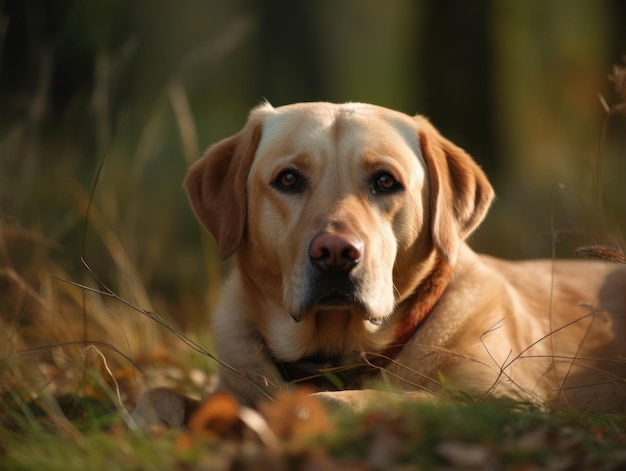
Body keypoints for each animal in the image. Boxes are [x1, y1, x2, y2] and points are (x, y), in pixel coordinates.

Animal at [132, 102, 624, 432]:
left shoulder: (510, 403)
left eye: (385, 181)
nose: (334, 252)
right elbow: (156, 395)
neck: (336, 354)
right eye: (288, 178)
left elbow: (376, 399)